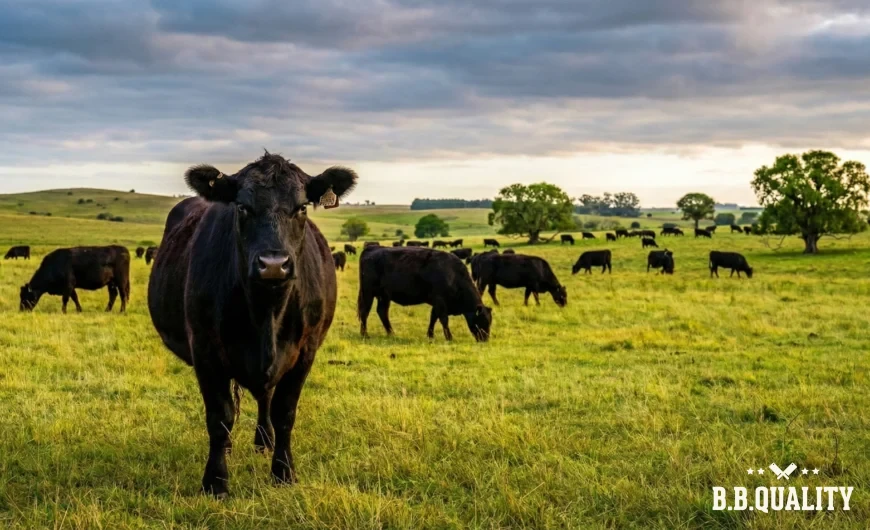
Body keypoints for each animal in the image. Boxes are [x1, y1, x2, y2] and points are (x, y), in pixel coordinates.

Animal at [147, 152, 357, 498]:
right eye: (242, 207)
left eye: (301, 207)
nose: (273, 265)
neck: (266, 312)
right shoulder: (205, 349)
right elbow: (220, 416)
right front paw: (216, 481)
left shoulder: (306, 350)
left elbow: (284, 412)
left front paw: (283, 472)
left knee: (266, 397)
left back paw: (264, 441)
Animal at [357, 247, 491, 341]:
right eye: (482, 320)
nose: (485, 339)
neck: (453, 275)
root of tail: (372, 249)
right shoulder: (440, 302)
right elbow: (444, 320)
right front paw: (449, 337)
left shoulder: (436, 304)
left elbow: (433, 318)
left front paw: (430, 335)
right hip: (368, 293)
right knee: (365, 312)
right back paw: (365, 335)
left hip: (384, 296)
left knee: (382, 312)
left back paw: (391, 333)